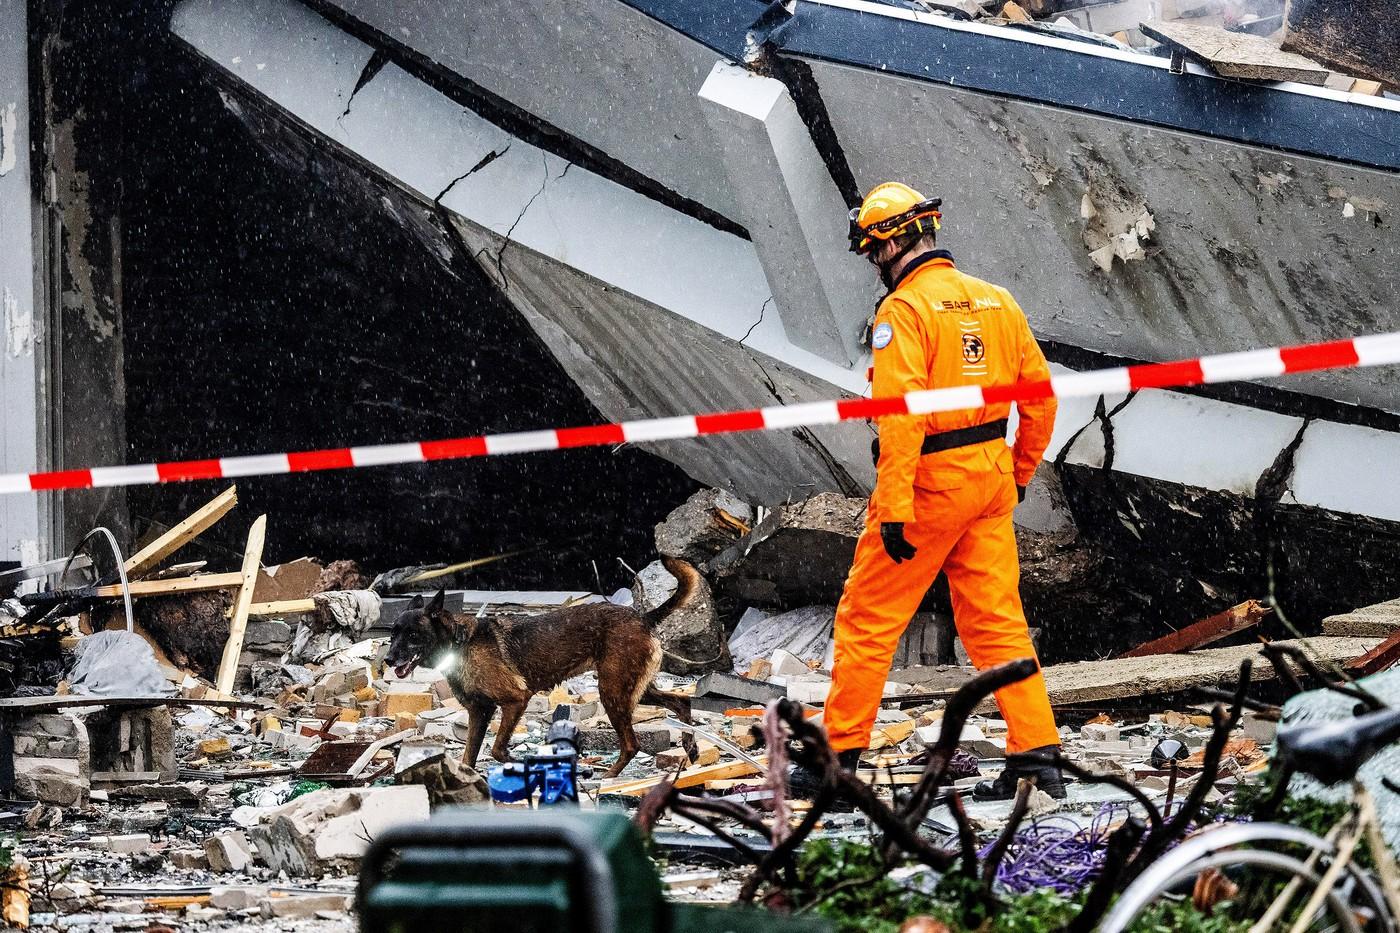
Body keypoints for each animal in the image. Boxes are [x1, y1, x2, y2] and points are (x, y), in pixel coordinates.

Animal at [386, 554, 697, 773]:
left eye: (412, 635)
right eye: (392, 634)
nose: (388, 660)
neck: (458, 642)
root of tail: (643, 617)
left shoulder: (515, 699)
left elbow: (497, 749)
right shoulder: (479, 712)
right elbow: (468, 757)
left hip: (613, 691)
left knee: (632, 744)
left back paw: (608, 778)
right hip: (634, 688)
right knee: (681, 703)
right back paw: (691, 748)